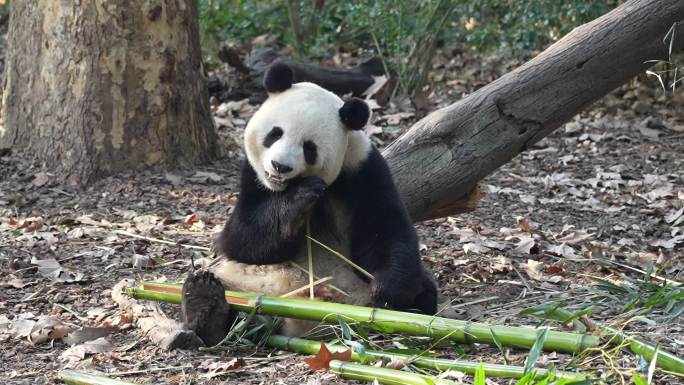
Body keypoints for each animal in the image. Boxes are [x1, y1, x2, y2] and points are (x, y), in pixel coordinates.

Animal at [180, 63, 438, 344]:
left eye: (309, 148)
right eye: (275, 133)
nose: (280, 166)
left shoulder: (362, 170)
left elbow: (384, 227)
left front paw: (387, 289)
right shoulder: (252, 179)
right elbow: (240, 241)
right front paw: (300, 199)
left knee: (425, 292)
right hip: (241, 285)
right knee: (222, 292)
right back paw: (205, 303)